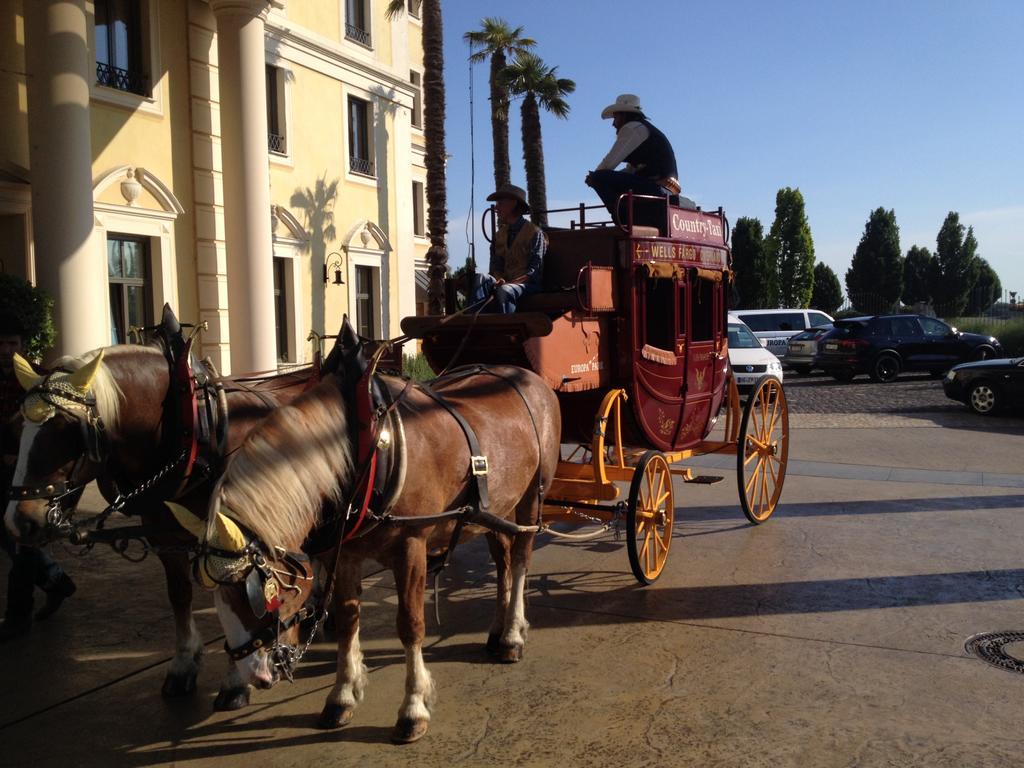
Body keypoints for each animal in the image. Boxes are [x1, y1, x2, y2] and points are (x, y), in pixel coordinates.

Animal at [4, 331, 311, 708]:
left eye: (68, 431)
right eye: (16, 428)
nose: (19, 521)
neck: (197, 430)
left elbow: (235, 599)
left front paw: (236, 681)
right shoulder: (165, 534)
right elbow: (179, 594)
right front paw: (184, 663)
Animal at [174, 325, 561, 745]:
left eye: (265, 596)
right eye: (217, 598)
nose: (255, 675)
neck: (368, 446)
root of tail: (531, 379)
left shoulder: (411, 545)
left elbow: (410, 625)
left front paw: (413, 708)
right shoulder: (345, 553)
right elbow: (347, 621)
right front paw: (342, 695)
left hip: (533, 495)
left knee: (520, 559)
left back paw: (512, 635)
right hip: (495, 508)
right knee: (503, 557)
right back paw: (498, 627)